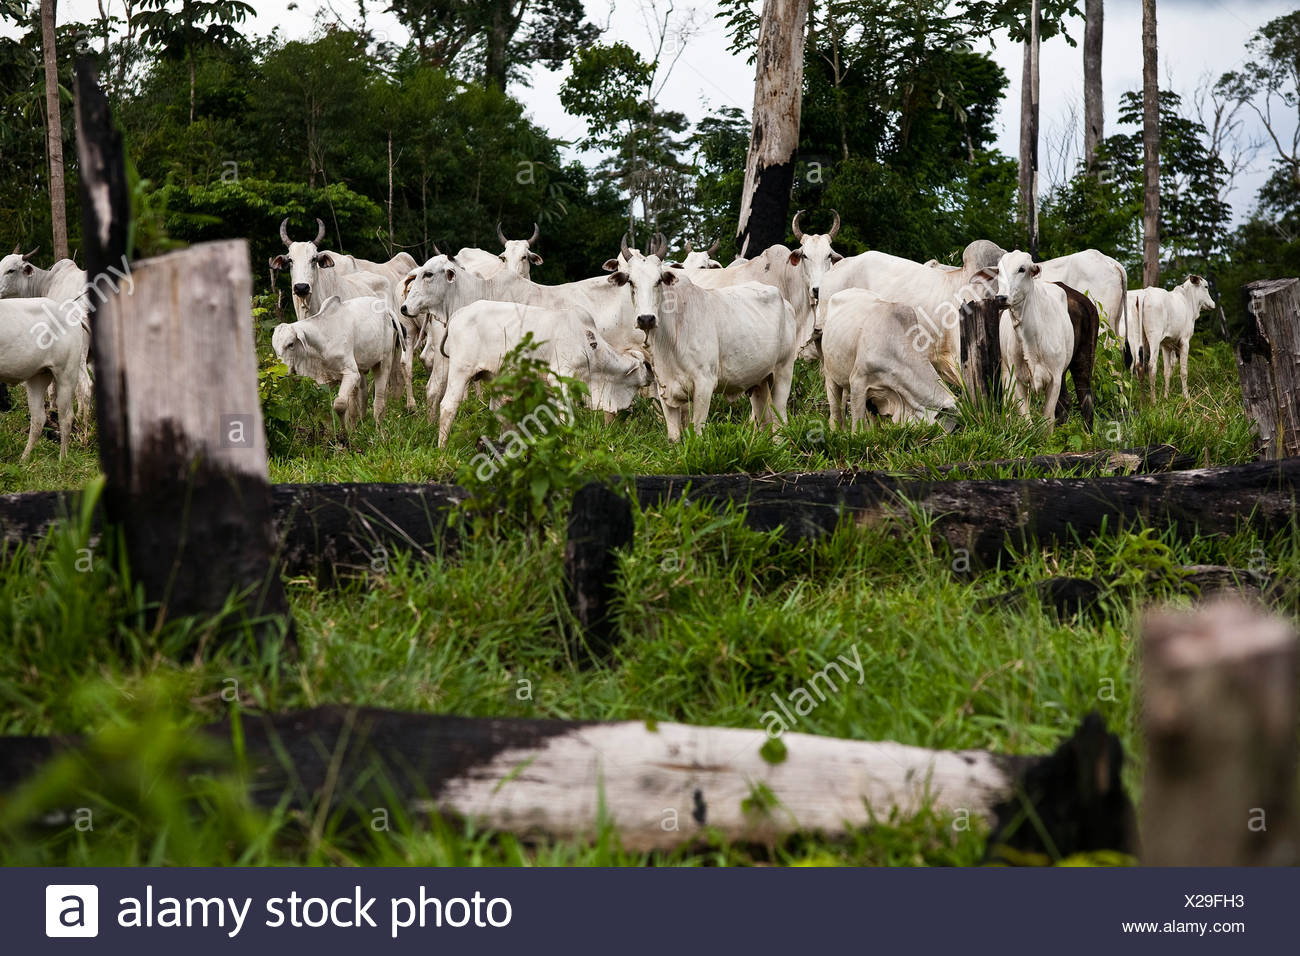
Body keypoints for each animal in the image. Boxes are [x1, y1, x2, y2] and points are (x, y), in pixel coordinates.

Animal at [0, 297, 87, 459]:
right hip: (38, 377)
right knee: (38, 418)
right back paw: (24, 459)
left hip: (67, 375)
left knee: (66, 418)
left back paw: (62, 459)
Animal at [271, 294, 403, 431]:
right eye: (275, 348)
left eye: (290, 344)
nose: (280, 374)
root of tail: (386, 308)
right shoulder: (325, 380)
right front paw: (348, 430)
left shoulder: (351, 373)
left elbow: (339, 405)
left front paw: (345, 433)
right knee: (360, 397)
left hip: (384, 362)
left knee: (379, 399)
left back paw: (379, 430)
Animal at [428, 300, 653, 446]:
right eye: (645, 365)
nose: (651, 375)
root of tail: (457, 314)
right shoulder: (561, 376)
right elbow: (564, 416)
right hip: (460, 370)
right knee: (448, 406)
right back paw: (442, 447)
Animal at [606, 245, 799, 440]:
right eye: (631, 282)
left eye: (659, 280)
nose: (646, 319)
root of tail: (786, 303)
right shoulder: (665, 390)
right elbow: (674, 436)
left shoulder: (704, 385)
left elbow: (697, 432)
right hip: (759, 381)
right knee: (763, 420)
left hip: (783, 372)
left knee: (780, 419)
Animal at [994, 251, 1076, 433]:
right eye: (999, 271)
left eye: (1021, 269)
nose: (1001, 298)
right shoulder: (1016, 378)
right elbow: (1026, 421)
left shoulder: (1055, 379)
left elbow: (1048, 420)